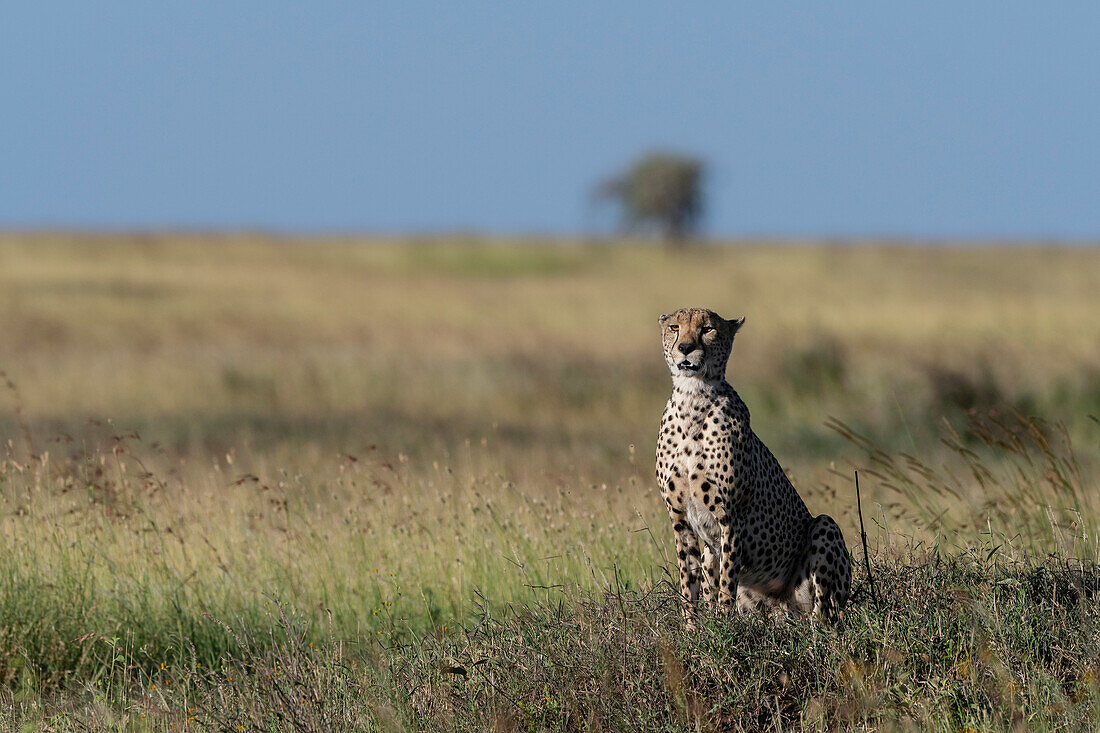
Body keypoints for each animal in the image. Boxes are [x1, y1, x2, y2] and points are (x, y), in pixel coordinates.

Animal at [651, 305, 849, 620]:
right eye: (674, 327)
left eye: (707, 329)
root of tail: (783, 608)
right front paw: (692, 629)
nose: (685, 348)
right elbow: (688, 585)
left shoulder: (731, 517)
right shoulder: (679, 518)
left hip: (824, 529)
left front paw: (722, 627)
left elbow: (726, 582)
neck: (692, 398)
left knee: (825, 616)